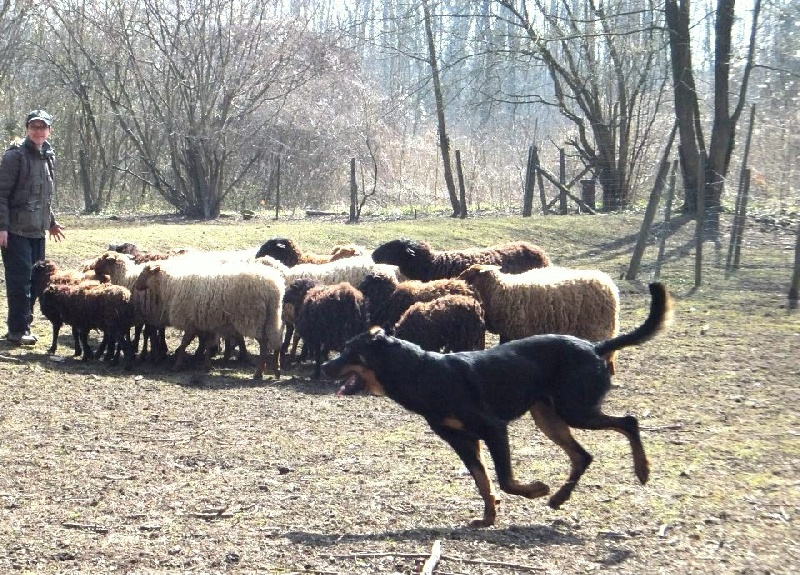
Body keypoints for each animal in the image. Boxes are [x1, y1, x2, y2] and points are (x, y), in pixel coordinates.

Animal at [322, 282, 672, 528]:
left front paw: (533, 490)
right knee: (583, 456)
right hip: (549, 418)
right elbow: (483, 481)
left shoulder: (493, 429)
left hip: (576, 411)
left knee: (628, 422)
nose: (324, 368)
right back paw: (560, 498)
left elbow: (503, 479)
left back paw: (641, 470)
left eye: (350, 352)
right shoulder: (463, 441)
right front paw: (489, 517)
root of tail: (595, 347)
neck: (423, 372)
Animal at [460, 264, 620, 372]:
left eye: (471, 274)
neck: (502, 291)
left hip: (597, 328)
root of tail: (609, 286)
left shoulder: (519, 331)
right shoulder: (507, 333)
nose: (457, 279)